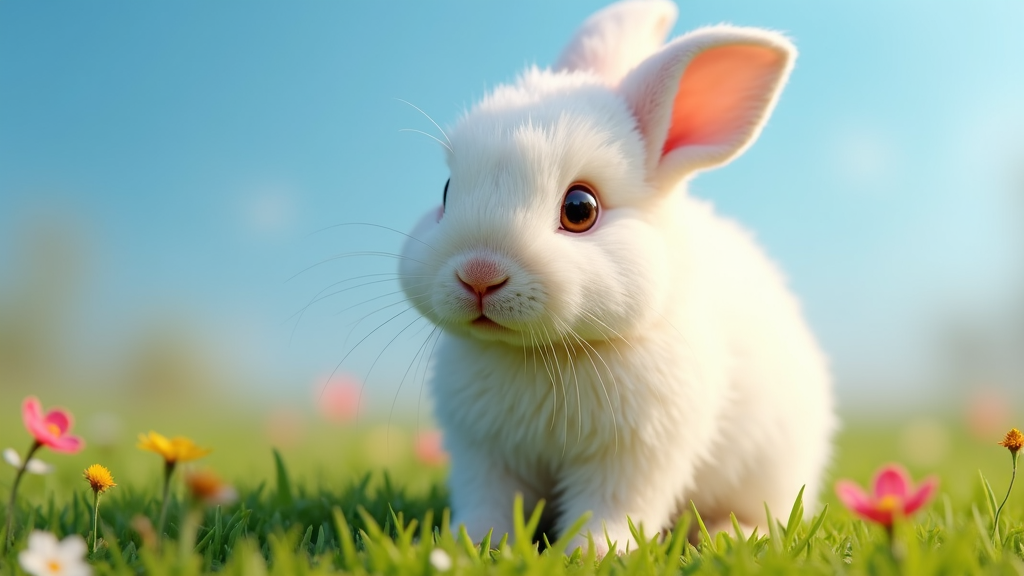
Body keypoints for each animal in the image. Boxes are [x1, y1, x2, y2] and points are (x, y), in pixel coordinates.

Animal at [395, 0, 835, 549]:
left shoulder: (636, 455)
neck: (541, 354)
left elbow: (612, 507)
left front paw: (593, 551)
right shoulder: (485, 455)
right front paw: (470, 544)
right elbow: (490, 504)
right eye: (447, 191)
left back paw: (731, 536)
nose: (479, 274)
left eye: (580, 209)